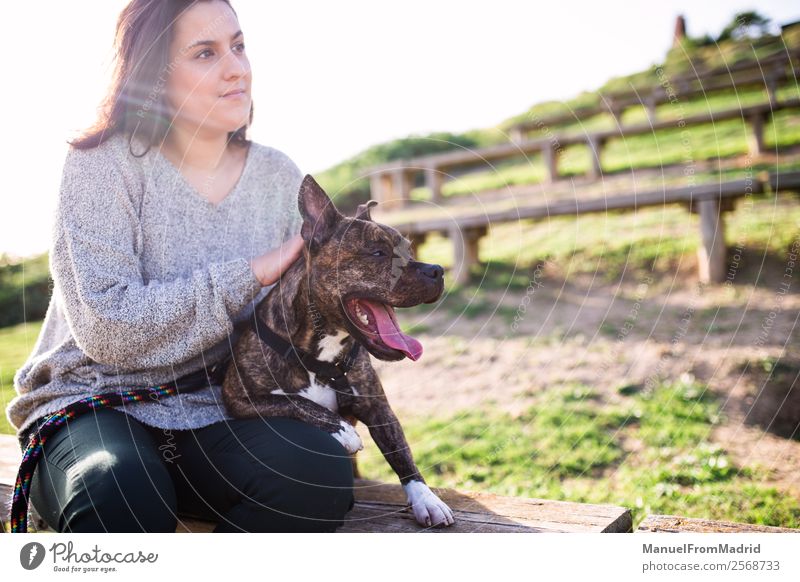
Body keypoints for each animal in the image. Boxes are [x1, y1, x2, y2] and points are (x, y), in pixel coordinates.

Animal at [222, 176, 454, 532]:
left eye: (409, 250)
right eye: (377, 253)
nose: (437, 270)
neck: (321, 354)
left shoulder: (377, 407)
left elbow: (401, 453)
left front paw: (426, 499)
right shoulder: (238, 398)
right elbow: (295, 400)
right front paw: (341, 430)